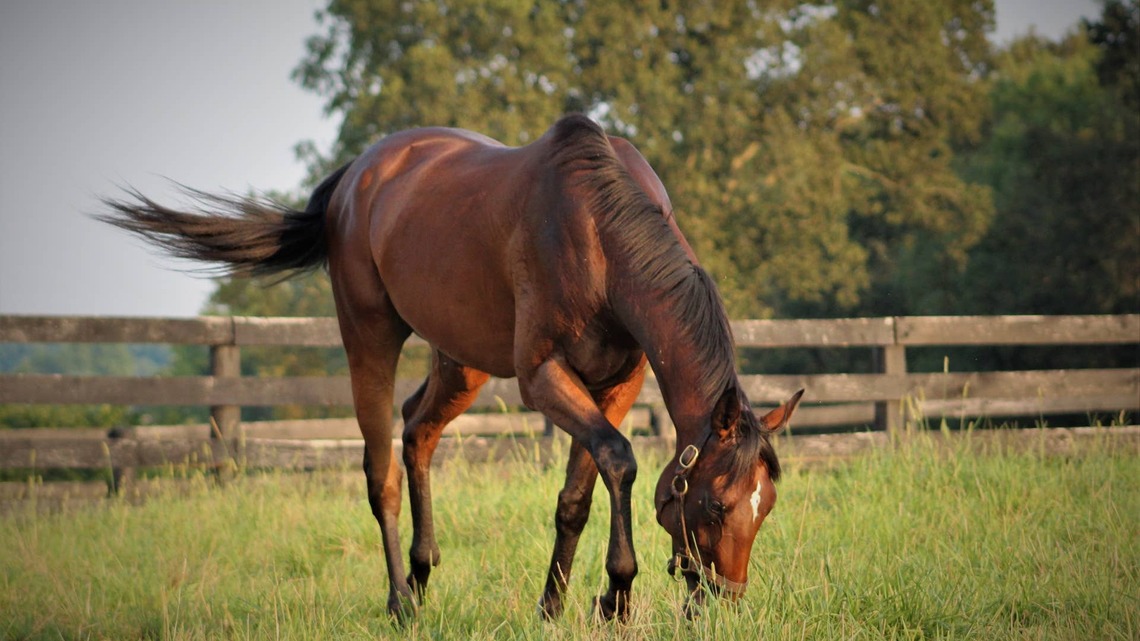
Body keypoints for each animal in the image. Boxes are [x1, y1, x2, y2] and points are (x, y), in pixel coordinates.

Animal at [99, 114, 803, 622]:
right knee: (381, 469)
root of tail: (358, 176)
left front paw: (559, 605)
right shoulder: (542, 377)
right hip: (369, 337)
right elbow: (620, 461)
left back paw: (422, 571)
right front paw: (617, 596)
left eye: (765, 507)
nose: (722, 602)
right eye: (716, 505)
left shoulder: (615, 384)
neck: (598, 231)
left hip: (459, 363)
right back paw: (399, 601)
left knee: (418, 430)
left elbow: (580, 491)